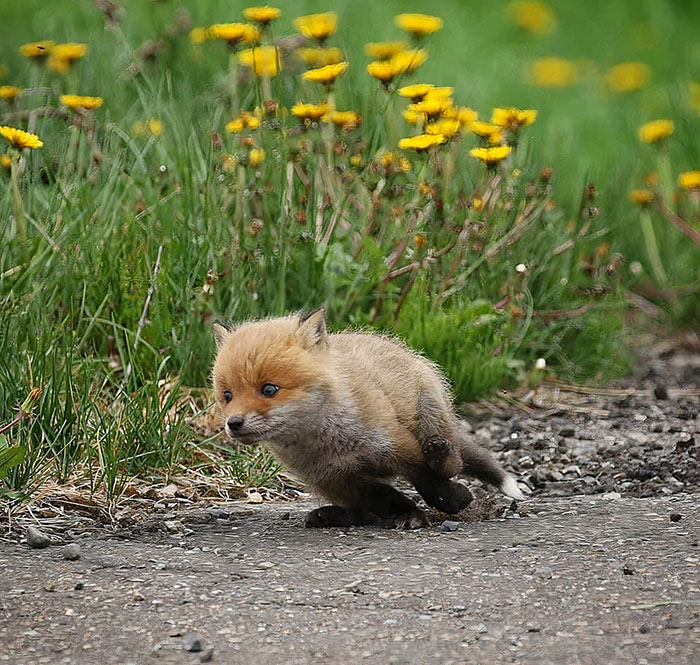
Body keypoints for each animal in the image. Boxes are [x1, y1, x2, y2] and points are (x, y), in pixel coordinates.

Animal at [212, 308, 524, 529]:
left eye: (269, 389)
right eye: (227, 395)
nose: (234, 423)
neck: (329, 444)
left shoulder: (399, 446)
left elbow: (428, 481)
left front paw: (452, 499)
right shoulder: (335, 479)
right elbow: (386, 499)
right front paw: (410, 513)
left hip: (432, 416)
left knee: (452, 460)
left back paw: (441, 456)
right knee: (363, 511)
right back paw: (334, 516)